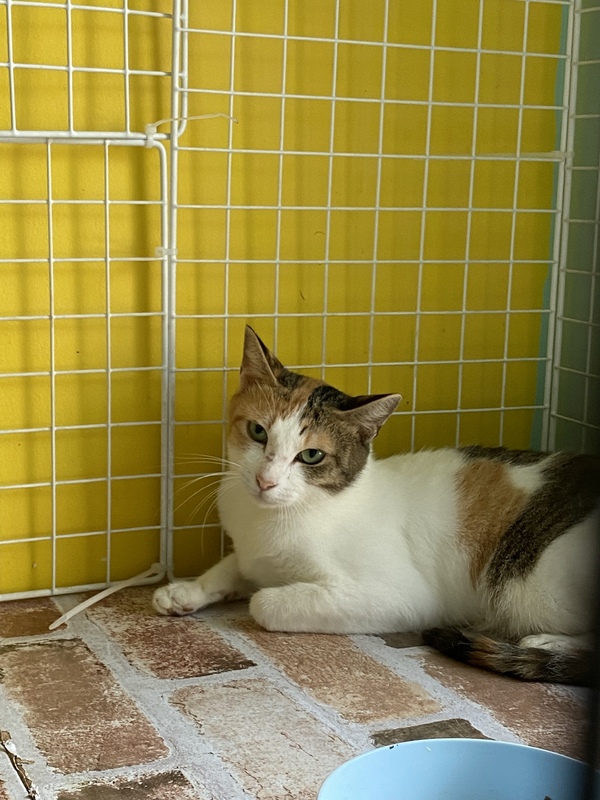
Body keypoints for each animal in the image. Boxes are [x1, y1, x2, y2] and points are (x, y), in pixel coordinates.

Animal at [153, 325, 600, 685]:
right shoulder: (251, 549)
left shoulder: (403, 595)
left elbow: (265, 602)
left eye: (311, 456)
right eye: (258, 431)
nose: (266, 481)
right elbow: (234, 566)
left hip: (531, 584)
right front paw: (186, 590)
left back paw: (548, 644)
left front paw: (263, 595)